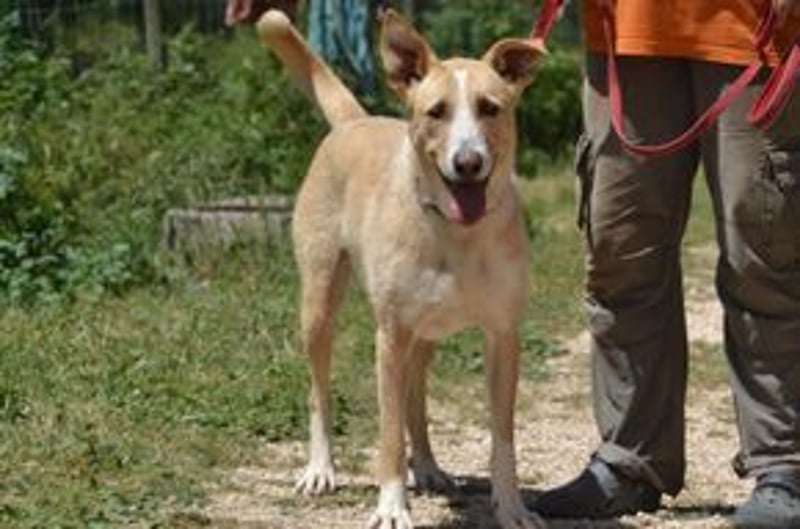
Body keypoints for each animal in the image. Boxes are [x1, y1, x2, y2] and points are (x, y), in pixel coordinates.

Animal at [257, 9, 546, 529]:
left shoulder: (504, 336)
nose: (468, 162)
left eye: (490, 108)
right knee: (319, 392)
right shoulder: (389, 337)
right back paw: (320, 469)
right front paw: (391, 508)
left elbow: (503, 436)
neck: (457, 234)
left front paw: (512, 507)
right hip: (319, 305)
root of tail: (355, 121)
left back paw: (428, 467)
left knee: (417, 397)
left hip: (426, 334)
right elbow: (389, 435)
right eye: (436, 112)